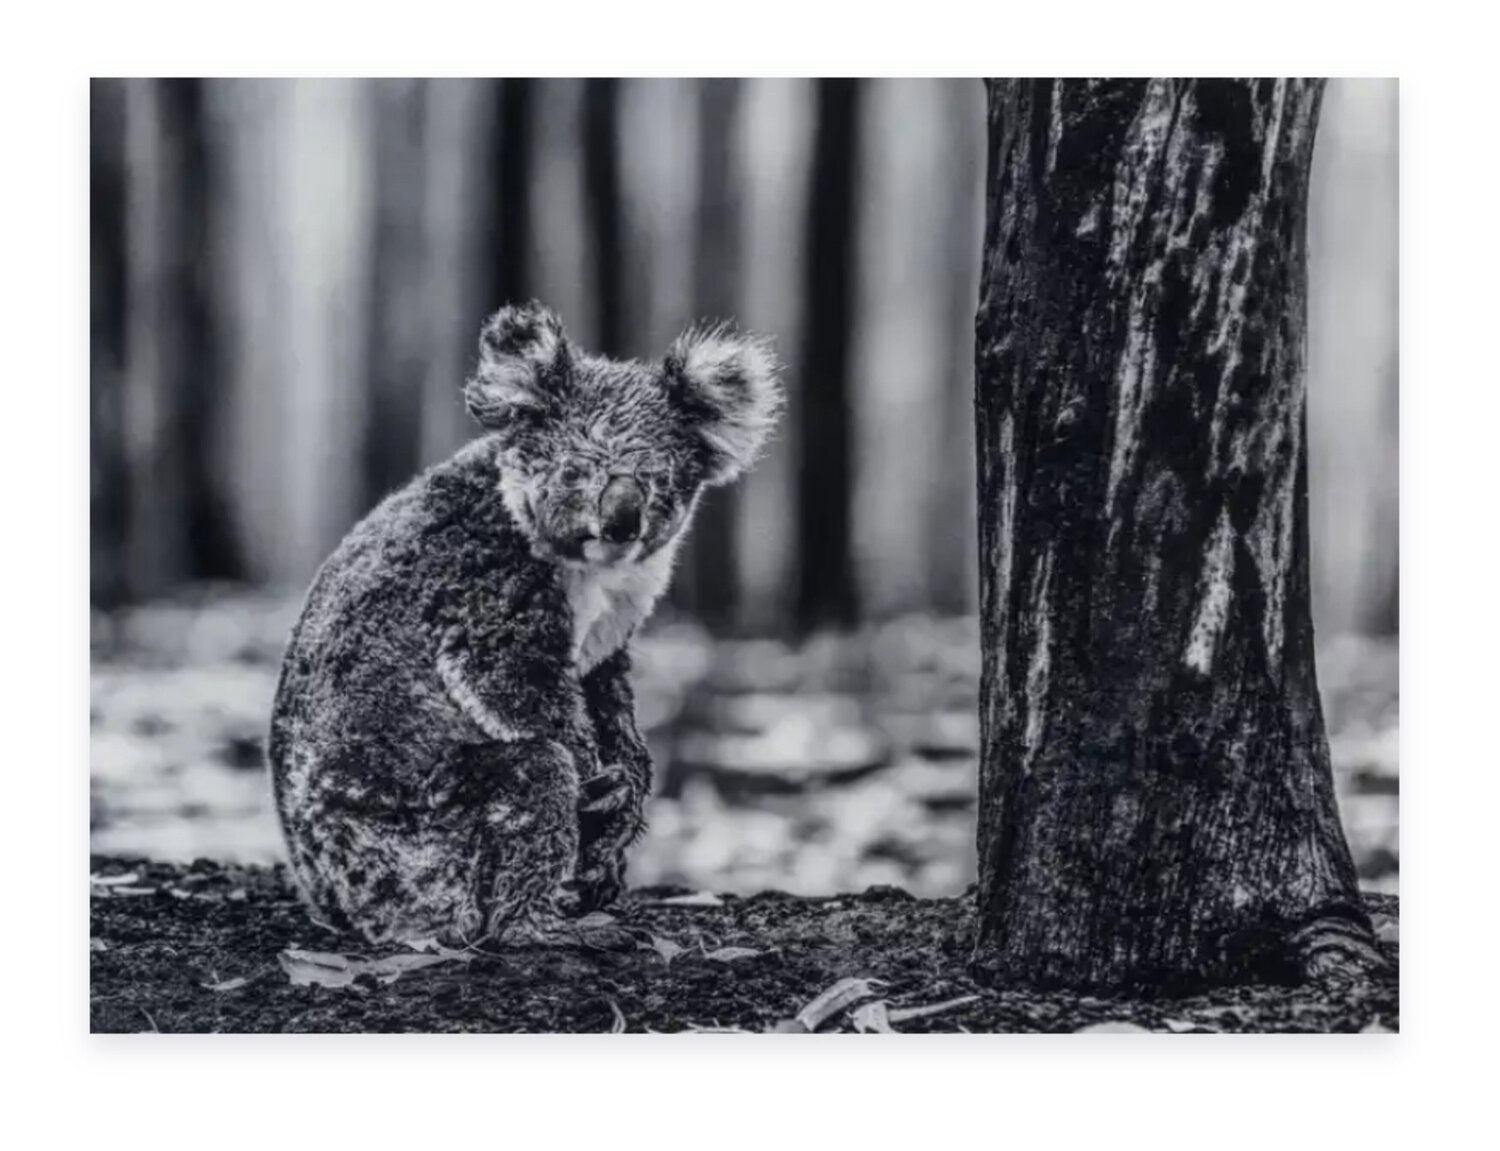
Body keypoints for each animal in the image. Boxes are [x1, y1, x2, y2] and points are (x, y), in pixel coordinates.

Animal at [267, 301, 785, 947]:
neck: (591, 573)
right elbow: (516, 687)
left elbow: (607, 701)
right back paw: (549, 925)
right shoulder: (486, 590)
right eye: (573, 472)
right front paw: (603, 791)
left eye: (658, 479)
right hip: (414, 848)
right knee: (537, 777)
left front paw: (627, 793)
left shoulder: (606, 646)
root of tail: (334, 905)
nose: (621, 521)